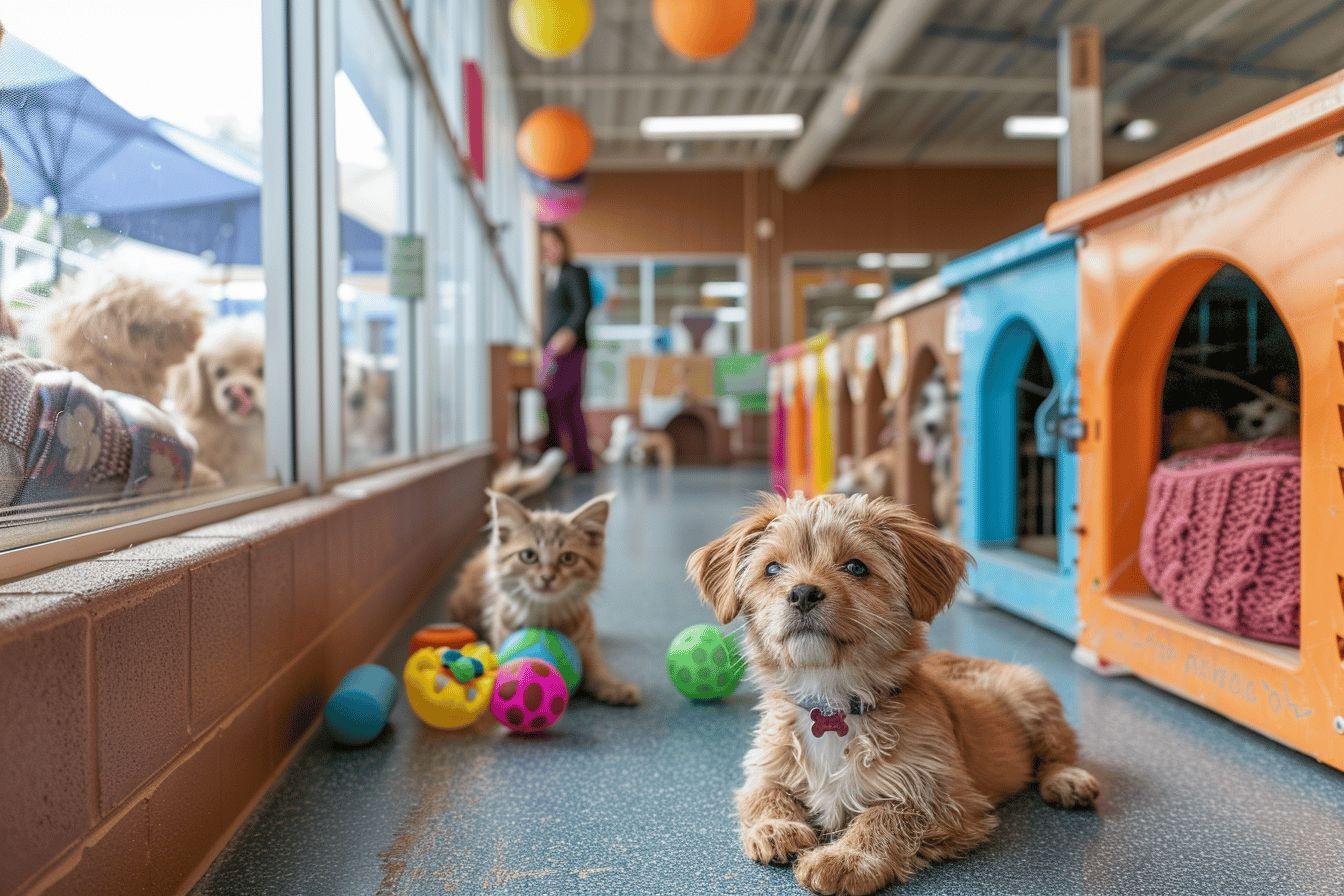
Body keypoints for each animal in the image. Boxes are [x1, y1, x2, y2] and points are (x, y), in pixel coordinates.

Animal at [446, 491, 639, 709]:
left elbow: (598, 670)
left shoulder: (589, 645)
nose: (547, 577)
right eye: (529, 555)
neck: (546, 617)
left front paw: (615, 686)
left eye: (568, 558)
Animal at [688, 494, 1096, 891]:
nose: (802, 592)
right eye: (772, 568)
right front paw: (776, 828)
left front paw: (847, 858)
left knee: (1059, 748)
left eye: (856, 567)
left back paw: (1068, 779)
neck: (832, 701)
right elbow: (763, 793)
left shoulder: (947, 799)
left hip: (1033, 693)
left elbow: (886, 815)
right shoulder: (764, 765)